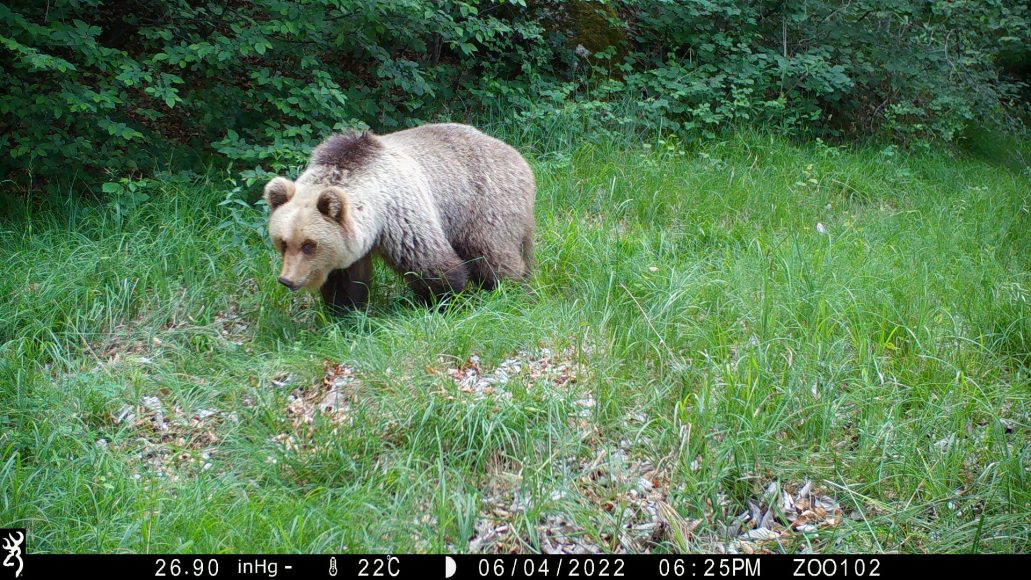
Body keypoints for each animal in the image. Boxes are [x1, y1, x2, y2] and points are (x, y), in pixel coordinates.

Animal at [265, 123, 536, 313]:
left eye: (309, 245)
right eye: (283, 242)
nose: (286, 279)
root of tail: (518, 156)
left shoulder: (400, 216)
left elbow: (430, 263)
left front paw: (447, 299)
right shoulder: (354, 242)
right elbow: (346, 281)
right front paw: (345, 312)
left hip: (482, 202)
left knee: (490, 252)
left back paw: (510, 288)